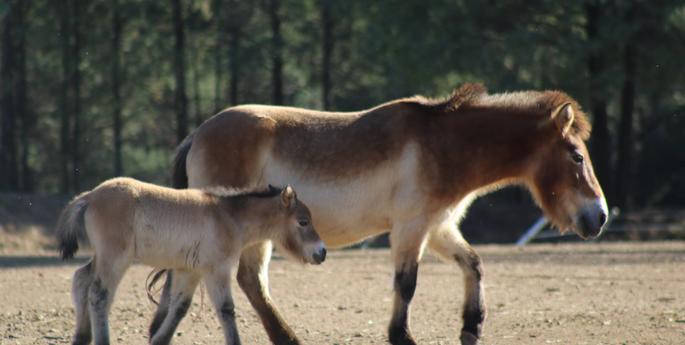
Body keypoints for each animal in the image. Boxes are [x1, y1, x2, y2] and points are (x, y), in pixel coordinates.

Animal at [55, 177, 324, 344]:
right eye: (303, 221)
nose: (321, 253)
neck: (228, 217)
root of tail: (90, 196)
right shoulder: (217, 270)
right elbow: (226, 309)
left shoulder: (190, 270)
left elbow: (180, 307)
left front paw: (159, 340)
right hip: (115, 258)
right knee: (99, 294)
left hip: (103, 257)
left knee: (81, 279)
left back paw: (81, 338)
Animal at [154, 84, 604, 344]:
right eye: (577, 156)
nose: (598, 217)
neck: (443, 146)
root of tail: (199, 134)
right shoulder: (411, 228)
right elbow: (406, 284)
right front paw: (402, 337)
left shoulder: (438, 227)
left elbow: (473, 264)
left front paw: (471, 326)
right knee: (249, 281)